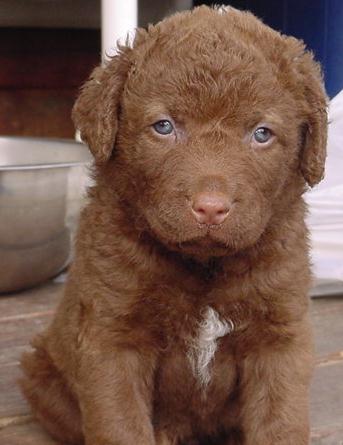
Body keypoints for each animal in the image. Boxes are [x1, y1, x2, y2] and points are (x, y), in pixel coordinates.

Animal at [19, 4, 328, 444]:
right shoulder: (111, 336)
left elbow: (280, 421)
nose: (211, 209)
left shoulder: (279, 334)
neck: (205, 267)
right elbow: (120, 424)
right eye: (163, 126)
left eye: (262, 134)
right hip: (42, 374)